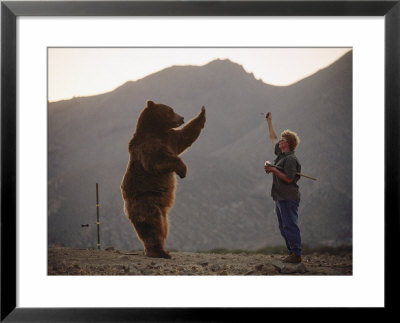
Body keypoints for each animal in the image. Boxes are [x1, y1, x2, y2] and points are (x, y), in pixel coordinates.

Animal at [120, 100, 205, 260]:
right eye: (171, 110)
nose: (182, 117)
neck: (156, 130)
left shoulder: (170, 138)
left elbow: (185, 136)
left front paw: (202, 113)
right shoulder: (147, 146)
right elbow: (158, 159)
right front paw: (182, 170)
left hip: (161, 209)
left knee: (163, 226)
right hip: (146, 201)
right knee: (152, 225)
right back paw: (159, 252)